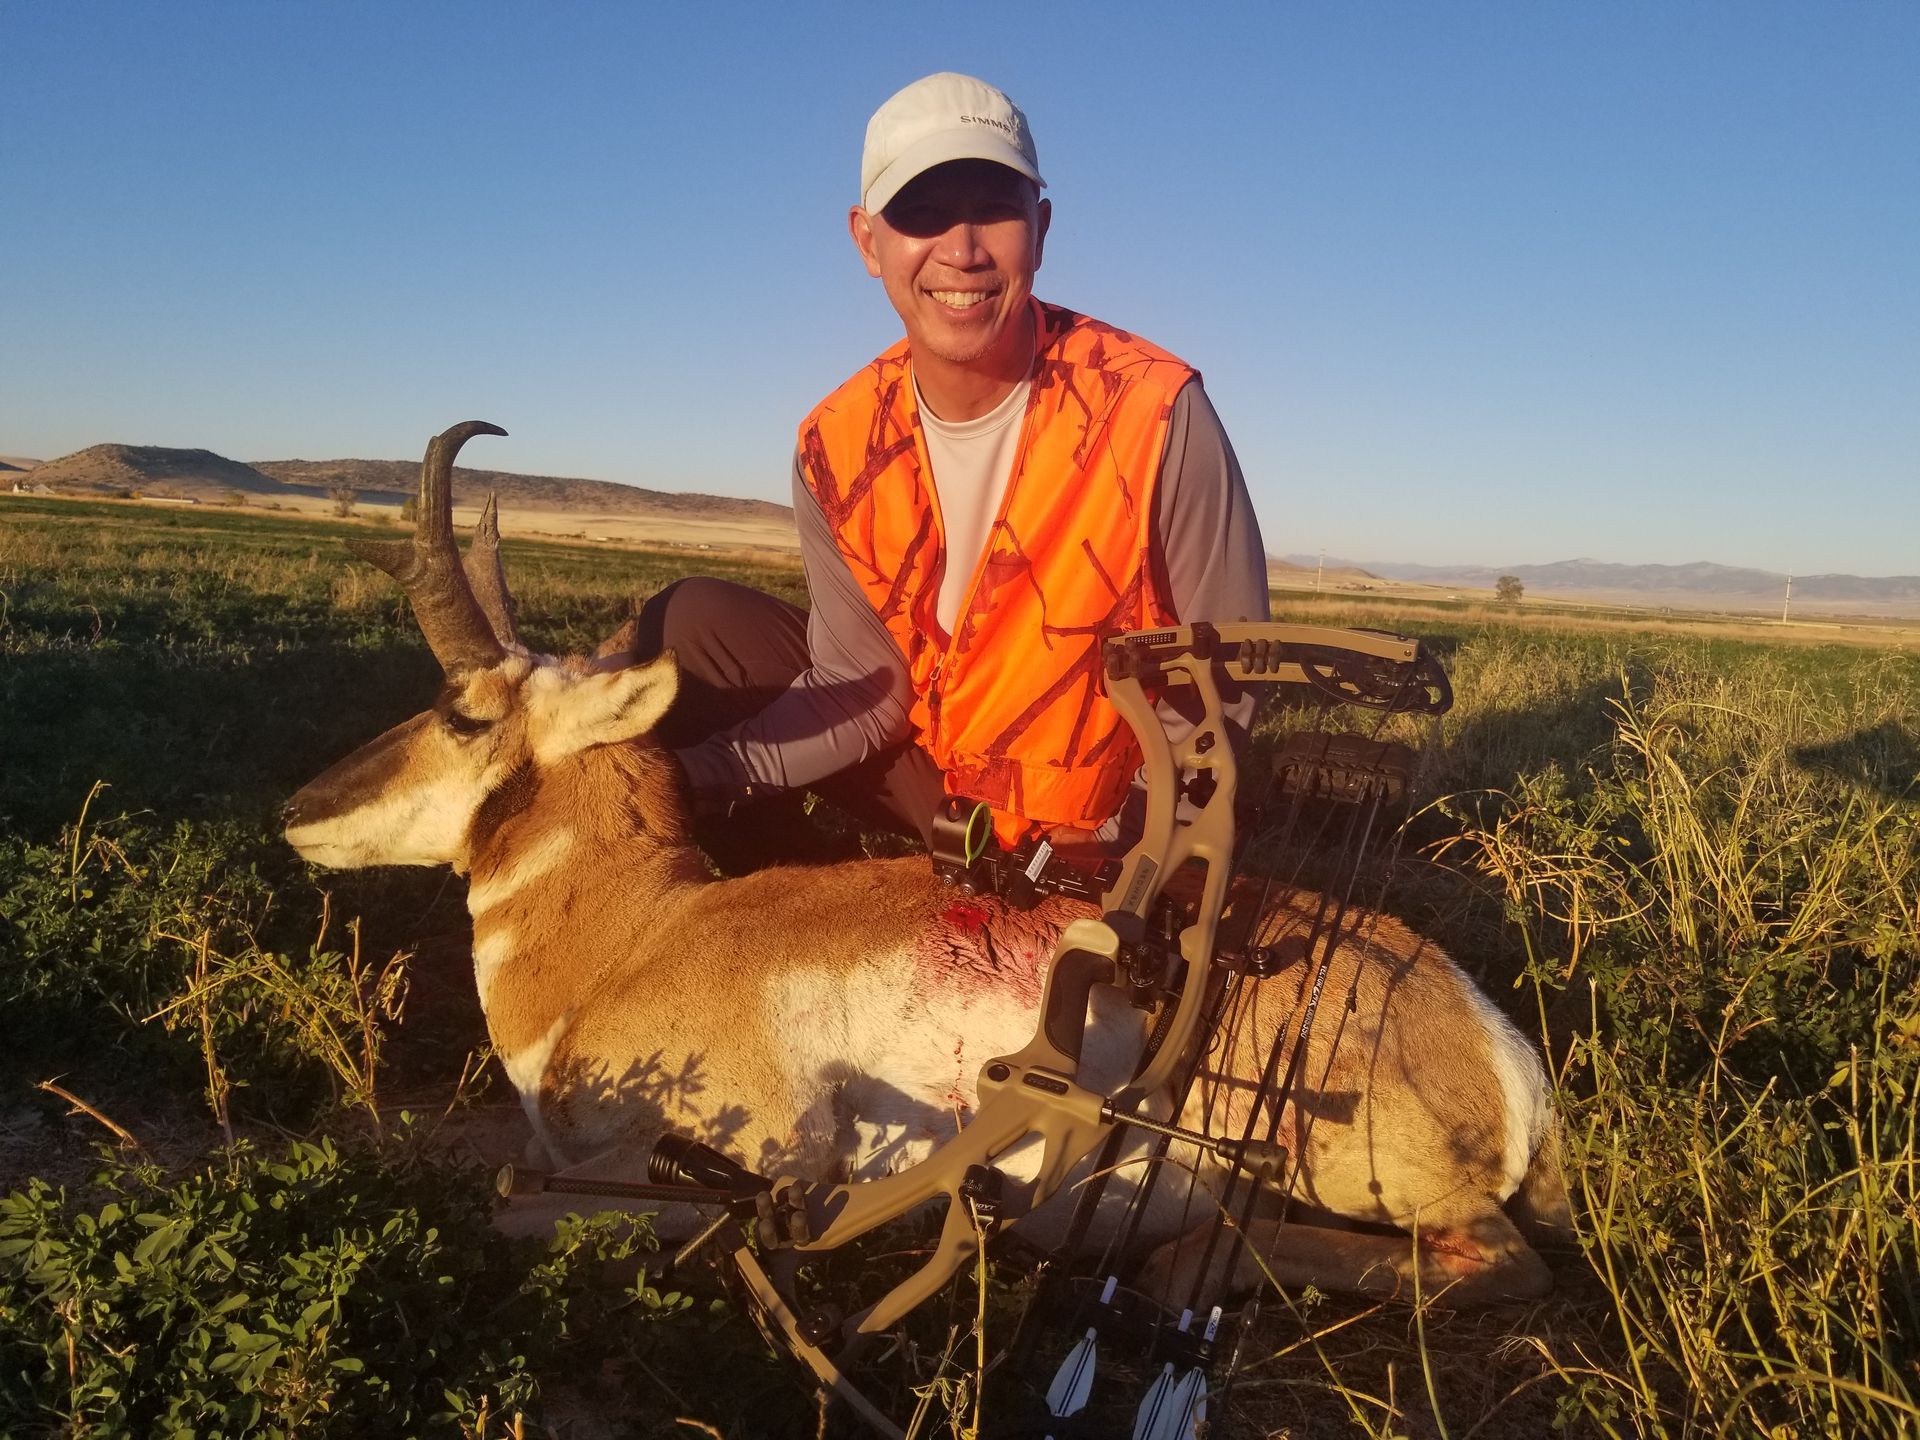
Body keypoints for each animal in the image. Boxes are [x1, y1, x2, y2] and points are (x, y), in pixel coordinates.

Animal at [284, 422, 1568, 1307]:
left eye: (461, 712)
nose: (299, 808)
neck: (640, 936)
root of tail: (1484, 1028)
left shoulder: (748, 1166)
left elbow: (511, 1214)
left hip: (1351, 1176)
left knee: (1500, 1260)